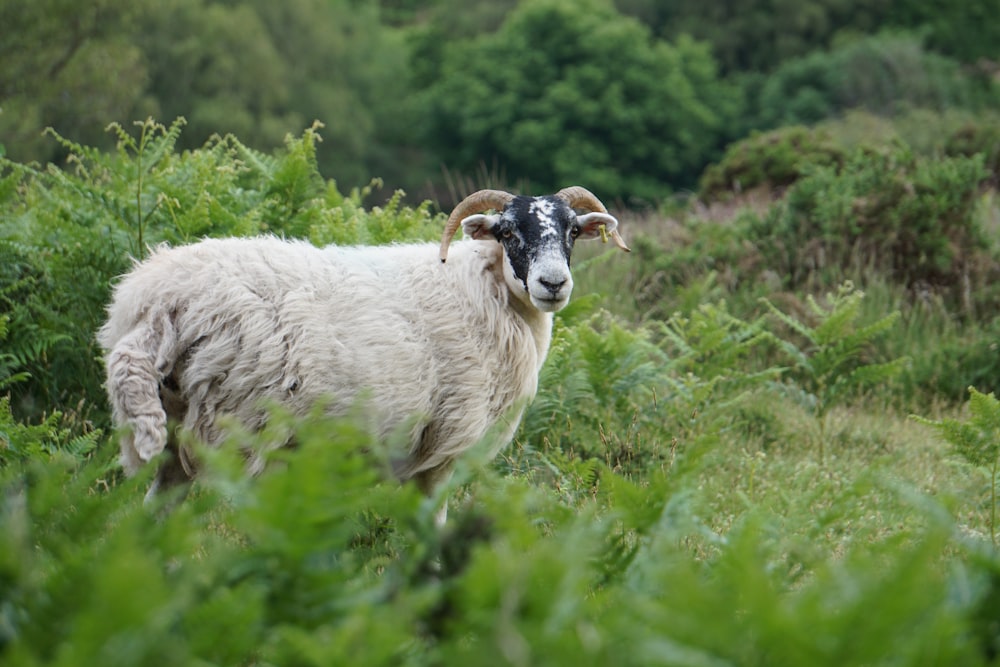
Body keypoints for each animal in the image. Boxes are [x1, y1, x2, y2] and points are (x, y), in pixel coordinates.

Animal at [97, 188, 628, 516]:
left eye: (572, 232)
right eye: (508, 233)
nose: (553, 284)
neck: (485, 289)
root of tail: (157, 302)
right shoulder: (443, 447)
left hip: (175, 432)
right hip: (239, 427)